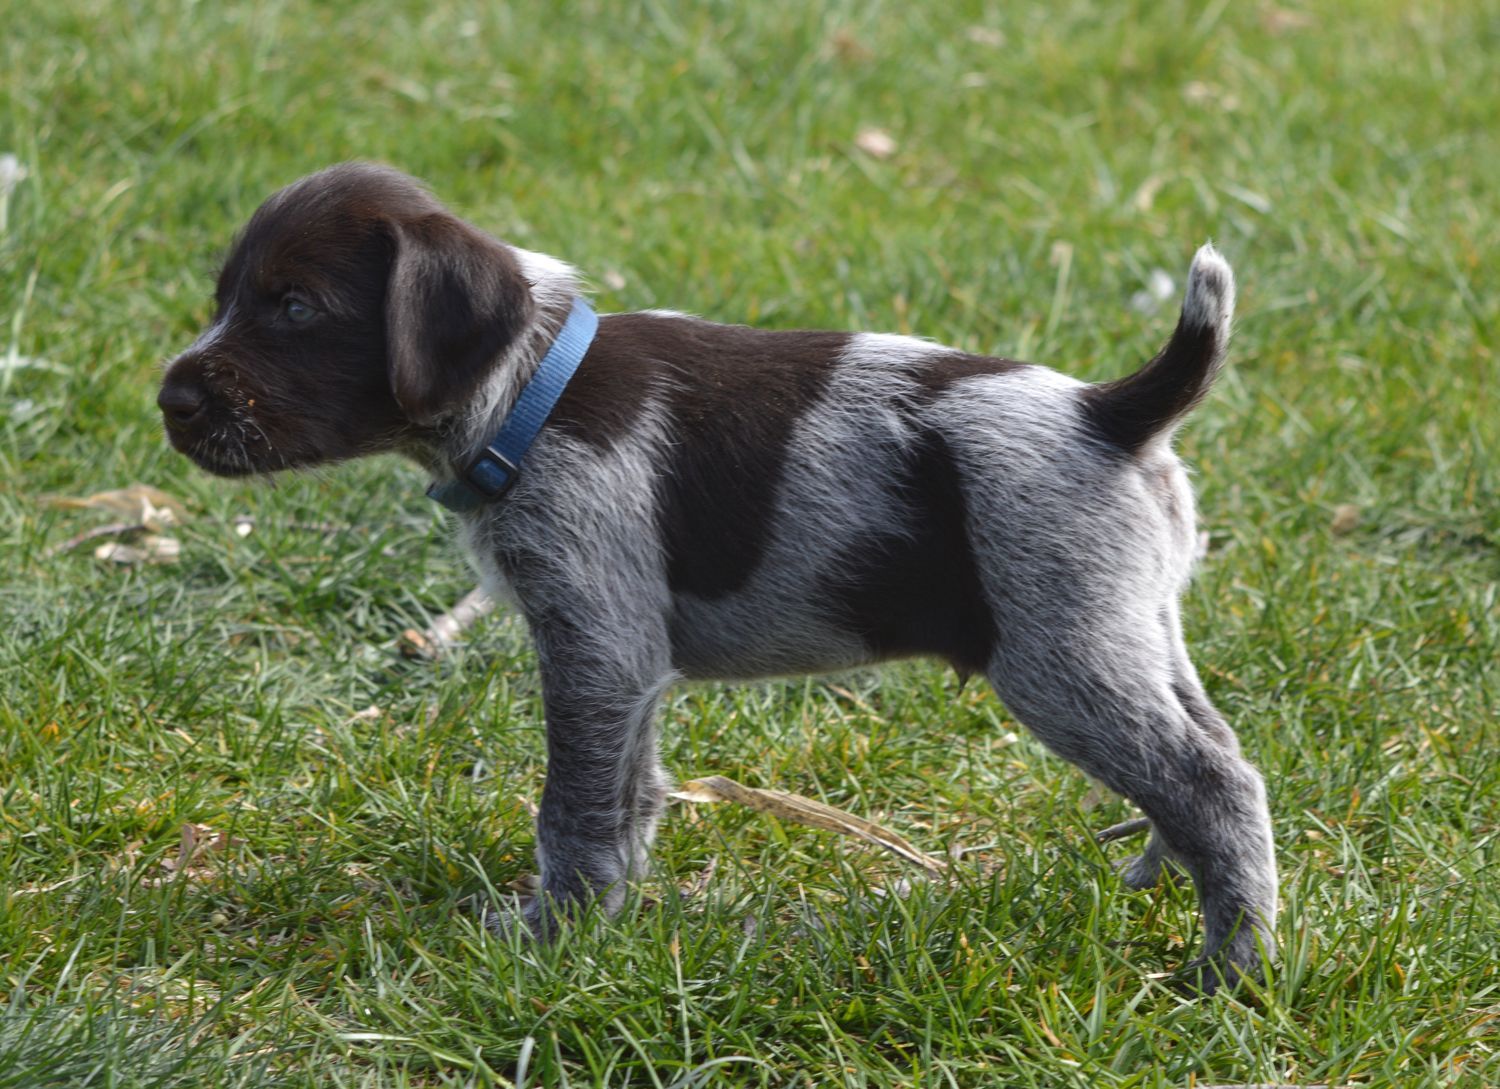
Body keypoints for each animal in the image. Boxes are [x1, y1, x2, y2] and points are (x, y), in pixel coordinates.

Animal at [158, 163, 1277, 989]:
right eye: (229, 299)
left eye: (295, 306)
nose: (168, 400)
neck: (530, 390)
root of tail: (1113, 411)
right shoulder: (624, 664)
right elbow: (628, 795)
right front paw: (607, 918)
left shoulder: (595, 646)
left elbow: (574, 809)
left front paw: (552, 939)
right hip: (1136, 634)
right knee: (1212, 758)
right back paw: (1173, 878)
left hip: (1061, 659)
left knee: (1215, 783)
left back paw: (1234, 969)